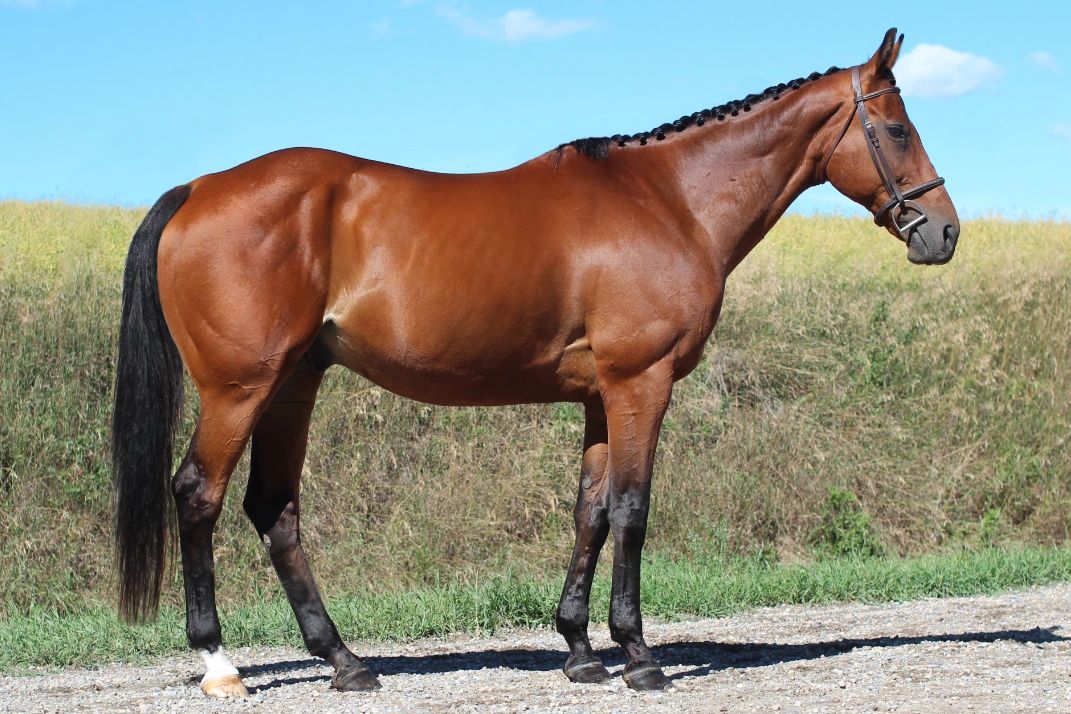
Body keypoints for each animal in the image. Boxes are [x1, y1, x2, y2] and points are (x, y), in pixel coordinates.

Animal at [112, 28, 958, 697]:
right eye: (895, 127)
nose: (942, 232)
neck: (670, 201)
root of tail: (200, 188)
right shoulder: (640, 383)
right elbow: (631, 510)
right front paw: (639, 655)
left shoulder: (598, 397)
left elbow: (589, 511)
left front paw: (580, 649)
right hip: (240, 389)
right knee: (199, 495)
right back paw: (220, 665)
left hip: (294, 383)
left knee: (274, 510)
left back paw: (344, 660)